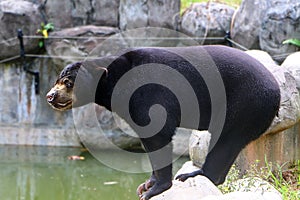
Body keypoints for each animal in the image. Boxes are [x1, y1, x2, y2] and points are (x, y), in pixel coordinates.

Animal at [45, 45, 280, 200]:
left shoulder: (149, 95)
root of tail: (276, 91)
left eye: (68, 83)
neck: (114, 79)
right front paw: (146, 184)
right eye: (58, 80)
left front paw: (153, 190)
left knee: (224, 142)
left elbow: (158, 134)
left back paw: (193, 174)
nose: (50, 96)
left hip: (244, 104)